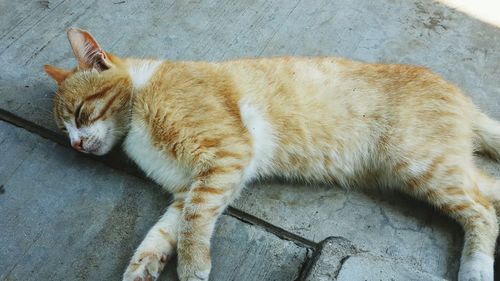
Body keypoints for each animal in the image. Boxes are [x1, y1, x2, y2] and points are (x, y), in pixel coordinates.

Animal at [44, 29, 500, 280]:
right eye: (63, 129)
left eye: (81, 114)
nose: (76, 145)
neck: (141, 94)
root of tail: (462, 98)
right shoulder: (192, 186)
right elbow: (164, 230)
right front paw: (143, 267)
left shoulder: (224, 158)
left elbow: (192, 224)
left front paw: (192, 269)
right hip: (433, 165)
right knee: (490, 191)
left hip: (418, 163)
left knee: (482, 210)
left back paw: (476, 268)